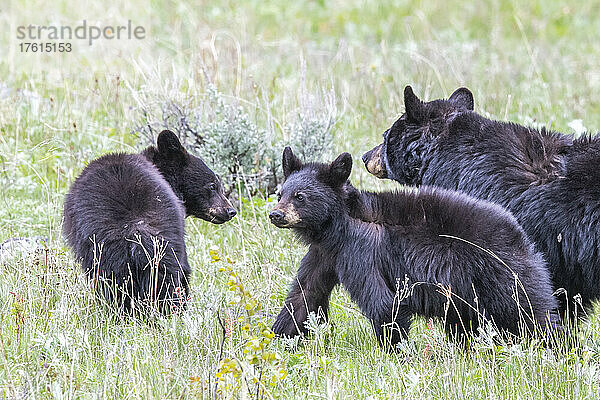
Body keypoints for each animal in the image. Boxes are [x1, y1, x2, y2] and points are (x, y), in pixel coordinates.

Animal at [270, 148, 560, 350]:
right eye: (280, 193)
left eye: (300, 197)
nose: (276, 214)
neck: (337, 225)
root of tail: (521, 235)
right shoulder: (324, 254)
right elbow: (303, 295)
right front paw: (278, 341)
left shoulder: (361, 251)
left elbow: (383, 302)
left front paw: (398, 352)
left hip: (502, 275)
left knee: (531, 312)